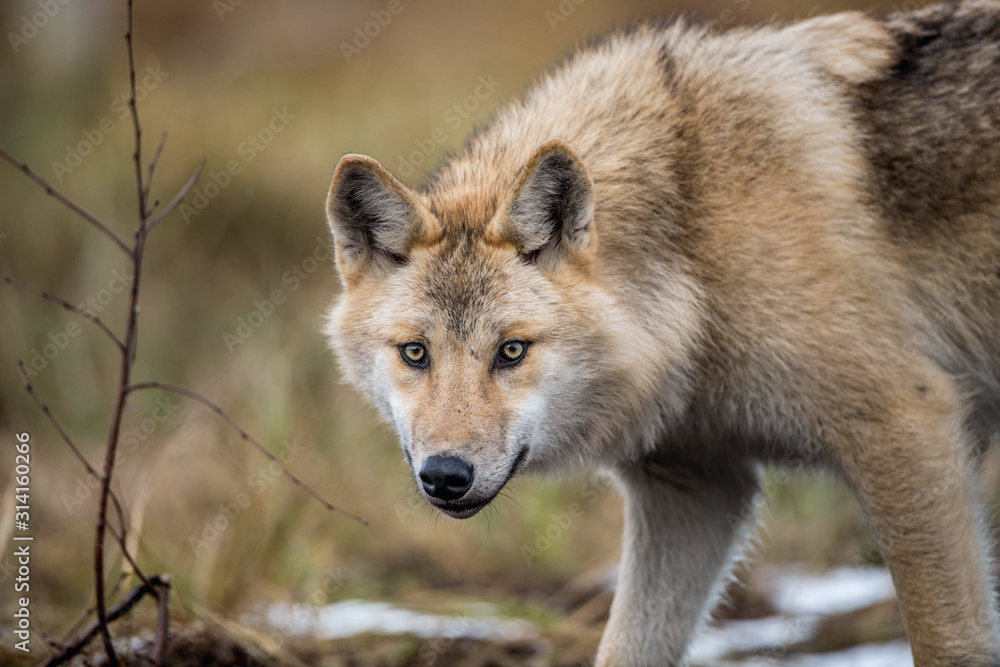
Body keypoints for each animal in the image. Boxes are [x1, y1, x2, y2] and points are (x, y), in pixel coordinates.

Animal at [322, 2, 1000, 664]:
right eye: (415, 353)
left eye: (511, 351)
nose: (445, 475)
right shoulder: (694, 489)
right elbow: (623, 650)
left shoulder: (905, 431)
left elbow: (947, 643)